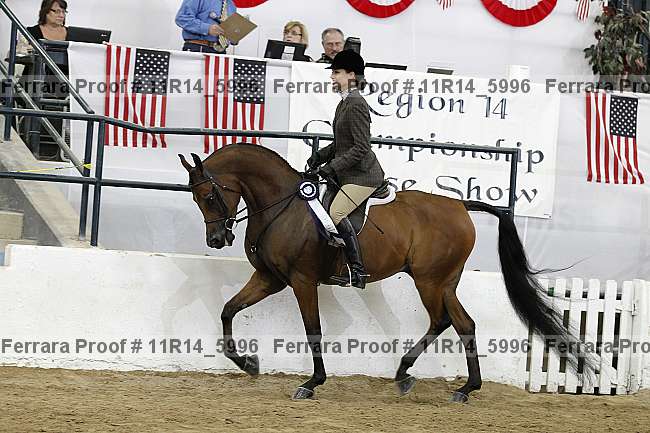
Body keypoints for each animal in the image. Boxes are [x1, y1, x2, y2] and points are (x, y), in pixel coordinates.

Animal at [179, 144, 589, 403]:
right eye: (196, 198)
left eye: (210, 196)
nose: (217, 239)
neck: (284, 207)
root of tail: (460, 205)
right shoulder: (270, 278)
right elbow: (228, 310)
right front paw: (247, 363)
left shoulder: (301, 281)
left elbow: (313, 330)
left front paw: (311, 383)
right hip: (444, 282)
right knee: (461, 323)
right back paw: (454, 387)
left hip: (429, 280)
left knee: (445, 320)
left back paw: (415, 376)